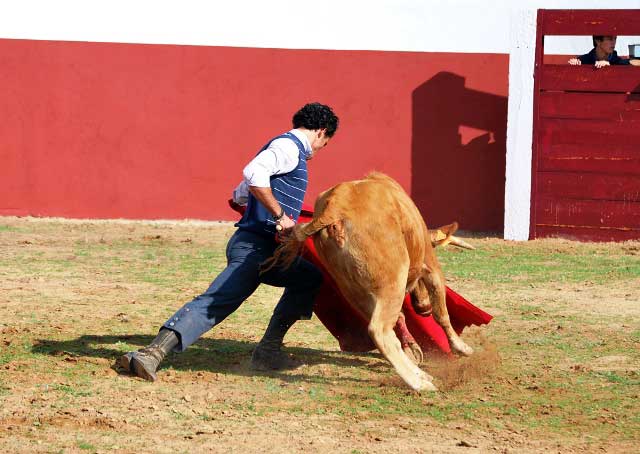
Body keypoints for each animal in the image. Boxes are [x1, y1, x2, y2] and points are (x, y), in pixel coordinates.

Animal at [266, 172, 476, 392]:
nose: (423, 308)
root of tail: (335, 208)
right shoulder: (431, 264)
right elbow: (441, 313)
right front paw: (462, 348)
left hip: (352, 290)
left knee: (387, 332)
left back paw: (419, 373)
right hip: (393, 281)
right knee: (379, 330)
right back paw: (418, 383)